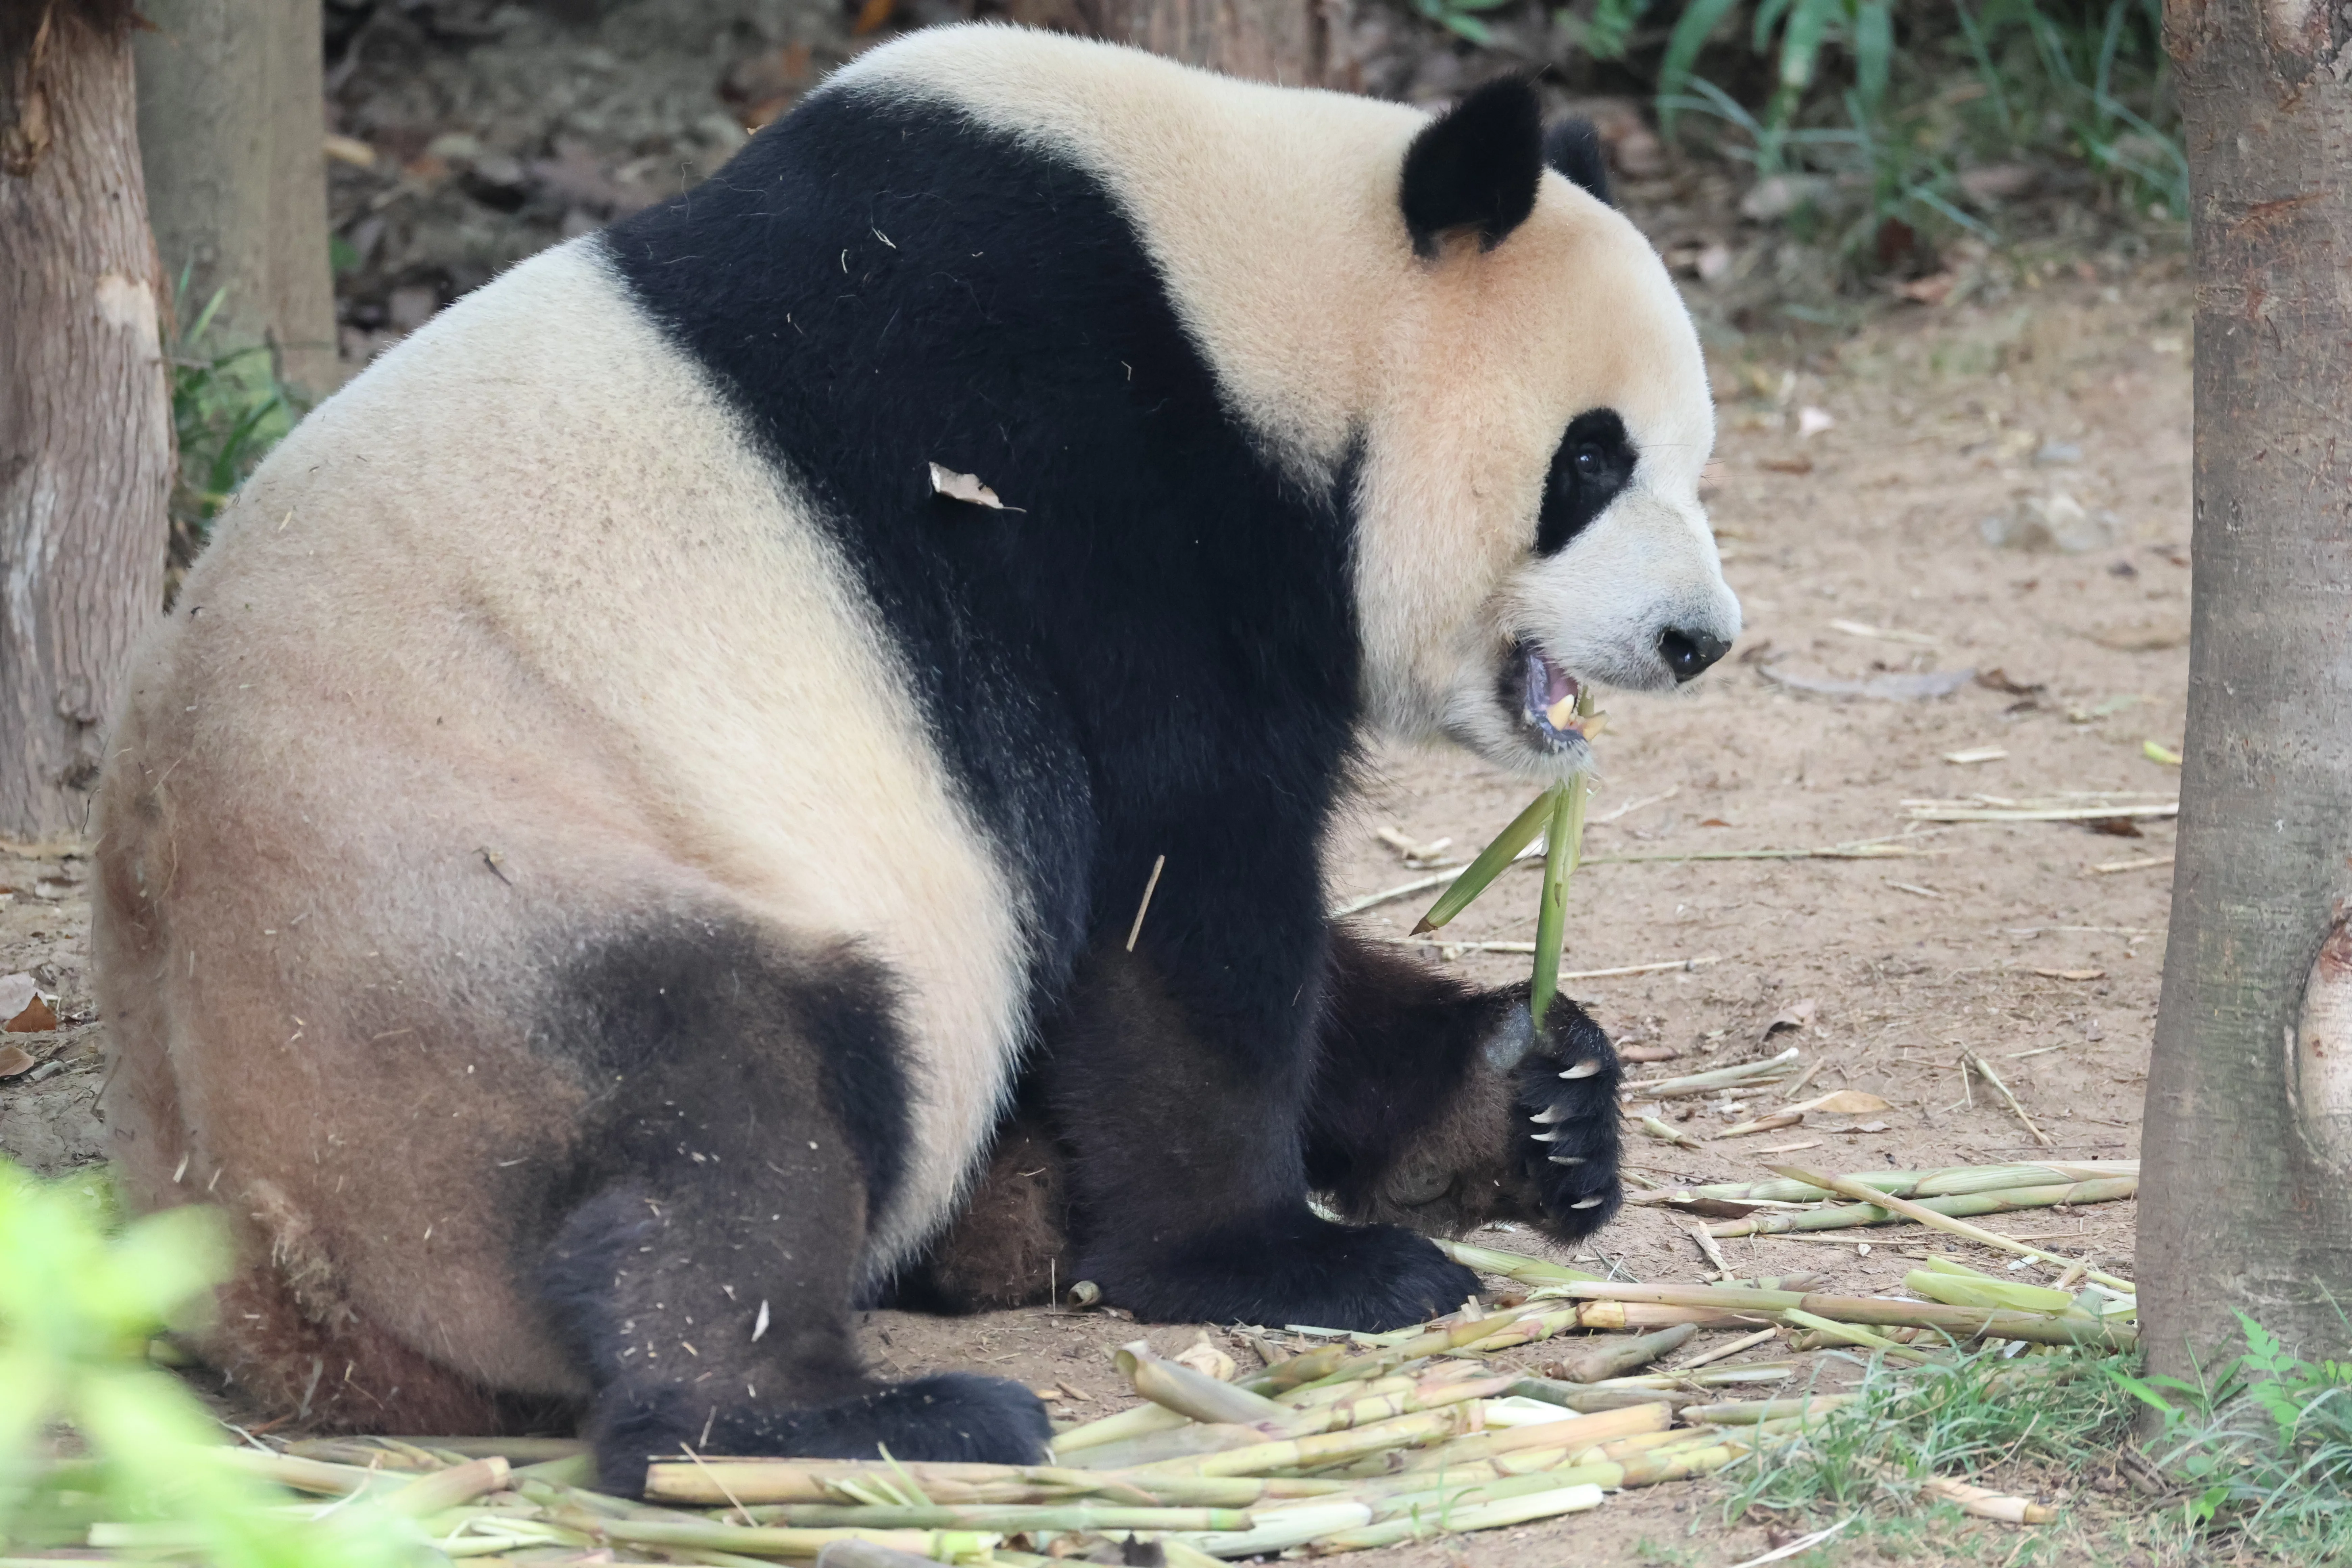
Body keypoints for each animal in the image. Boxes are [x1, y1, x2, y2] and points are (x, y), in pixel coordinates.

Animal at [92, 24, 1738, 1491]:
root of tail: (264, 1276)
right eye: (1588, 459)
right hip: (463, 952)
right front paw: (1286, 1257)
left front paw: (1530, 1097)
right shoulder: (1089, 498)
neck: (1256, 305)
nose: (1697, 638)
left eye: (1692, 455)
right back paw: (847, 1421)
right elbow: (1179, 899)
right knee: (727, 1119)